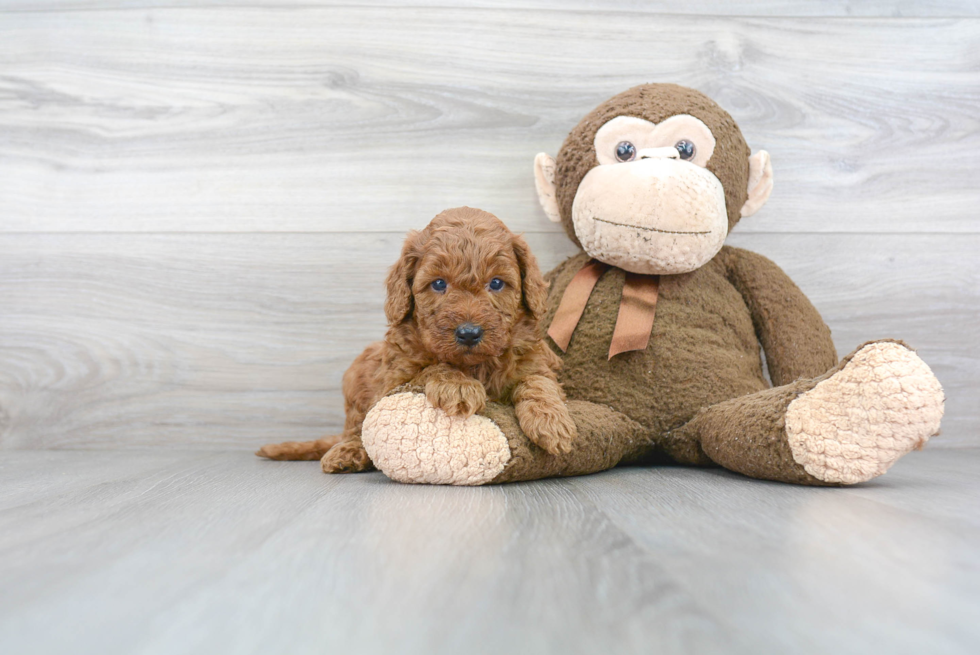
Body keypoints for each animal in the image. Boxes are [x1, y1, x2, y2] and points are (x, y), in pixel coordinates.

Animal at [256, 208, 580, 474]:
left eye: (497, 283)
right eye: (438, 284)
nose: (469, 332)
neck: (474, 366)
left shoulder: (535, 362)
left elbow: (538, 383)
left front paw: (551, 422)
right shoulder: (394, 378)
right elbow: (430, 368)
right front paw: (457, 385)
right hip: (358, 371)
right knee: (356, 426)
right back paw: (348, 452)